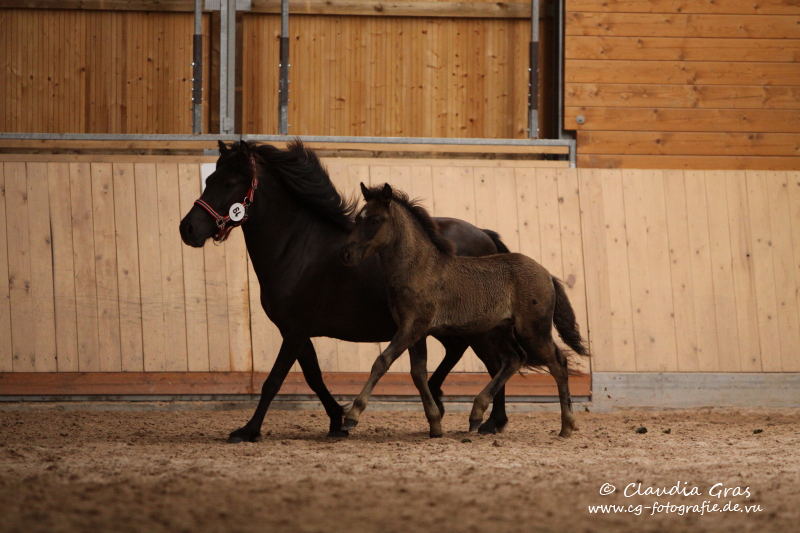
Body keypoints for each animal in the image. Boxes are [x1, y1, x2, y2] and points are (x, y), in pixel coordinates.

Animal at [179, 140, 517, 441]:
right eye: (209, 180)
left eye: (230, 183)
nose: (188, 229)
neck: (297, 246)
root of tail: (485, 236)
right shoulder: (296, 330)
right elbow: (314, 377)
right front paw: (337, 421)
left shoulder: (295, 330)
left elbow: (274, 380)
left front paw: (248, 431)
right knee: (466, 354)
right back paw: (450, 404)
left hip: (476, 328)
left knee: (496, 361)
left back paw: (490, 422)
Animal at [341, 183, 589, 437]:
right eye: (358, 219)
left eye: (374, 220)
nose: (347, 254)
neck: (419, 268)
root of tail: (547, 274)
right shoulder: (414, 331)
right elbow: (418, 373)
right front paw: (435, 424)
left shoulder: (412, 327)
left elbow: (382, 361)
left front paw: (352, 416)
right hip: (497, 330)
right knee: (513, 359)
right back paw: (477, 414)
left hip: (532, 330)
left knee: (557, 363)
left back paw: (566, 425)